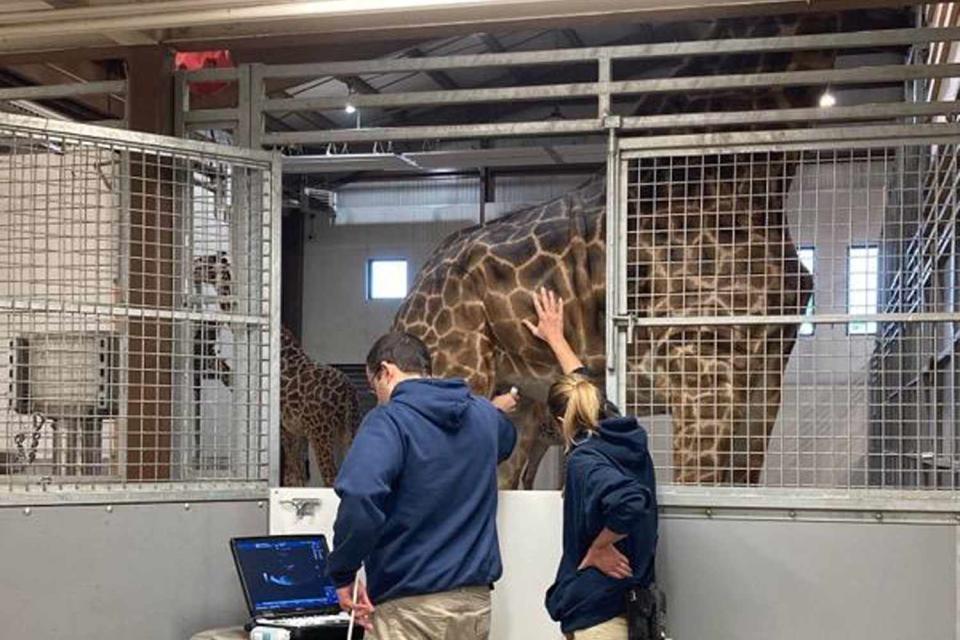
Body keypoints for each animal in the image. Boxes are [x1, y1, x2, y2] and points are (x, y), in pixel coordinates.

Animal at [191, 254, 360, 484]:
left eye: (206, 262)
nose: (192, 268)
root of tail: (349, 393)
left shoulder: (285, 427)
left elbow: (292, 475)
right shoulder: (295, 430)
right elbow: (296, 476)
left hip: (322, 431)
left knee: (330, 478)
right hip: (347, 428)